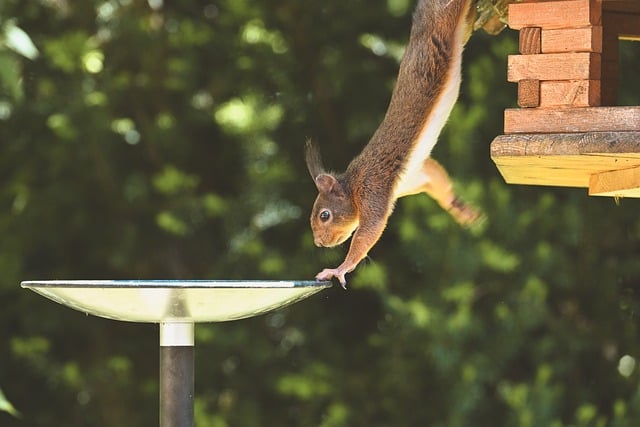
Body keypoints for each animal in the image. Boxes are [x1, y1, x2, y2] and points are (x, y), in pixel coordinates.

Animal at [306, 0, 480, 288]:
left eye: (324, 215)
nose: (319, 243)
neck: (353, 184)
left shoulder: (372, 188)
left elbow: (369, 231)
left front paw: (339, 269)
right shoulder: (416, 177)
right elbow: (437, 179)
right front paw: (457, 207)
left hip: (445, 16)